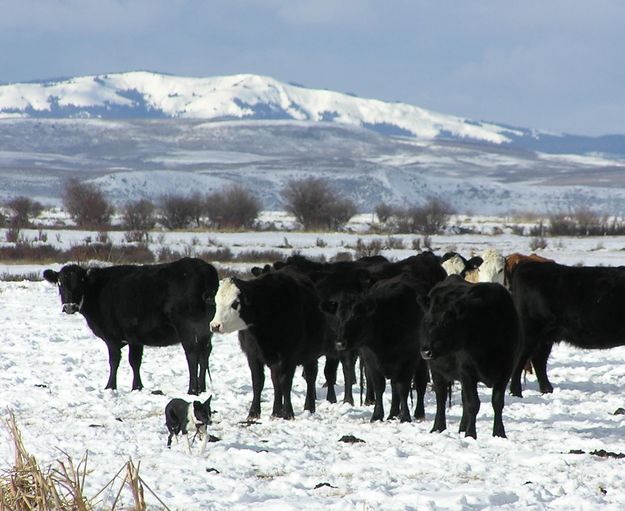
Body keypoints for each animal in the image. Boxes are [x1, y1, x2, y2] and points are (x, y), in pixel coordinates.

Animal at [42, 258, 218, 394]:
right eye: (60, 283)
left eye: (80, 282)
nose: (69, 307)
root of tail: (204, 268)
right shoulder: (135, 337)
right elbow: (135, 361)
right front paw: (137, 387)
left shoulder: (112, 336)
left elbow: (114, 361)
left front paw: (110, 387)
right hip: (205, 329)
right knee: (204, 353)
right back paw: (202, 388)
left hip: (187, 327)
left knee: (192, 354)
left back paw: (192, 390)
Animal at [210, 272, 326, 420]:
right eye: (216, 302)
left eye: (235, 303)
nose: (215, 325)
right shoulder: (252, 354)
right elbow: (258, 382)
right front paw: (253, 412)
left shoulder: (289, 356)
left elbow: (286, 382)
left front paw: (288, 413)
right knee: (276, 382)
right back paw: (276, 411)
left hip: (310, 356)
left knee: (310, 377)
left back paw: (309, 407)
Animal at [420, 276, 520, 440]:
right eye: (428, 322)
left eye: (446, 323)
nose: (425, 351)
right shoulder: (467, 371)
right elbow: (473, 404)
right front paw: (471, 434)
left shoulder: (506, 371)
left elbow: (497, 402)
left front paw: (499, 433)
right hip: (436, 370)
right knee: (441, 397)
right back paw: (438, 427)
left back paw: (461, 428)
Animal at [510, 262, 624, 398]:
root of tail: (526, 265)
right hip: (530, 332)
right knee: (520, 361)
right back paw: (517, 393)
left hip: (546, 336)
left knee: (539, 360)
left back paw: (547, 391)